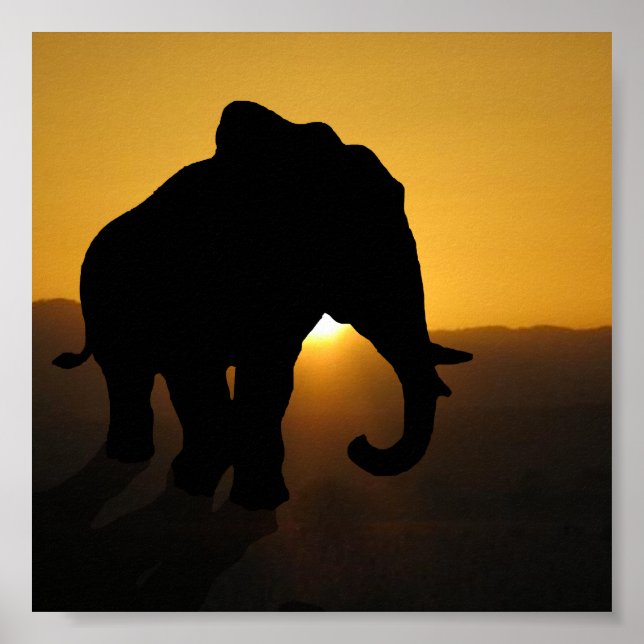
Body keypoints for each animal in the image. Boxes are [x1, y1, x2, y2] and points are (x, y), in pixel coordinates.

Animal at [53, 101, 472, 510]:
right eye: (353, 241)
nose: (359, 444)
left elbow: (270, 375)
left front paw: (258, 502)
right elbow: (197, 369)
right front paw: (198, 484)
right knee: (129, 374)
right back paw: (133, 458)